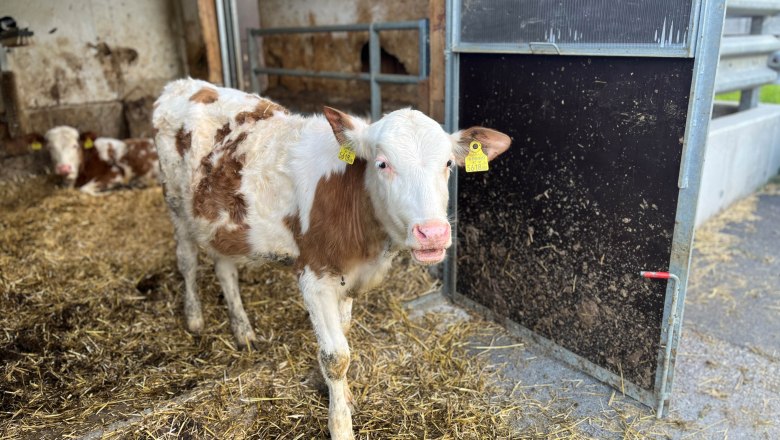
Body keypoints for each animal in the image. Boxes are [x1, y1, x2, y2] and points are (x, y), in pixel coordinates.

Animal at [152, 79, 512, 440]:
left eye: (448, 164)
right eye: (382, 163)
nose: (433, 233)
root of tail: (184, 84)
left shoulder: (349, 277)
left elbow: (344, 331)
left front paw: (343, 396)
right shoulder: (314, 276)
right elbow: (336, 356)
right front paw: (340, 426)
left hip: (220, 223)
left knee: (225, 267)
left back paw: (243, 330)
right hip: (175, 205)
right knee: (187, 261)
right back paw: (194, 317)